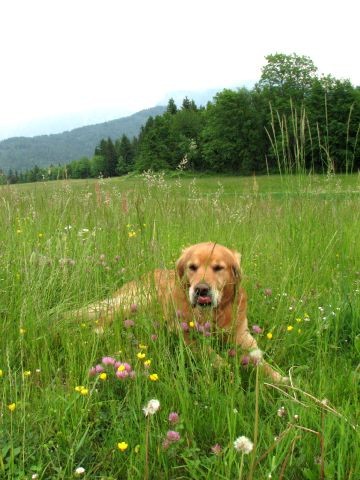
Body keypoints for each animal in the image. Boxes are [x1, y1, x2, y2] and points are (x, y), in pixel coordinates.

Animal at [75, 244, 286, 382]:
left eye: (218, 268)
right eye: (192, 267)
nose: (201, 289)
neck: (209, 315)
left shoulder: (241, 335)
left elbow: (259, 359)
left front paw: (279, 378)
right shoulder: (184, 333)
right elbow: (210, 353)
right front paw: (227, 370)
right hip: (137, 300)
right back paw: (100, 331)